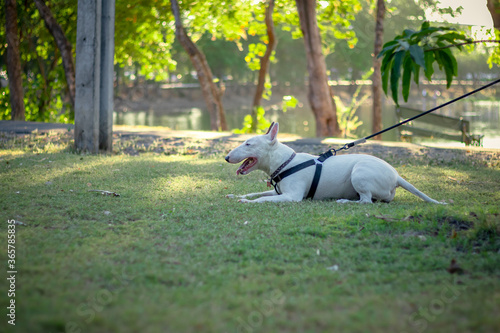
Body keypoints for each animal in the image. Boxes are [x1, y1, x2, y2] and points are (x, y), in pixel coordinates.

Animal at [225, 122, 444, 202]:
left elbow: (262, 199)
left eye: (248, 144)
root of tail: (397, 176)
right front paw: (237, 195)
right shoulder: (278, 191)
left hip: (359, 173)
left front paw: (246, 202)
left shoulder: (292, 196)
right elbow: (258, 193)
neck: (285, 162)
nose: (226, 158)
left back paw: (345, 201)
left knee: (366, 201)